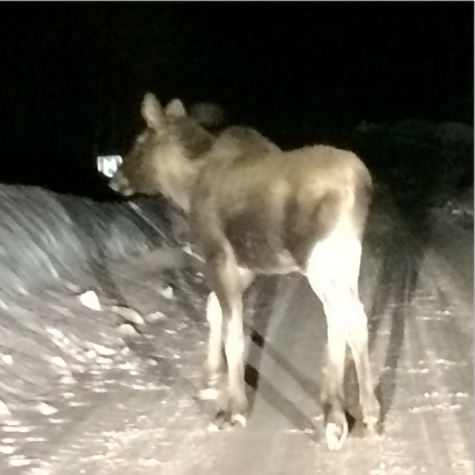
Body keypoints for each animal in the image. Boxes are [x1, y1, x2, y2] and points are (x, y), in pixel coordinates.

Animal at [108, 92, 380, 450]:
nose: (115, 179)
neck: (186, 187)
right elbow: (214, 310)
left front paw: (233, 408)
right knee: (357, 317)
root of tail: (361, 183)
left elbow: (232, 329)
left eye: (140, 140)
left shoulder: (218, 253)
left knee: (339, 316)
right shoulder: (245, 265)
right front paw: (212, 373)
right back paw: (369, 414)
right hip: (348, 256)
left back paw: (335, 415)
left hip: (319, 258)